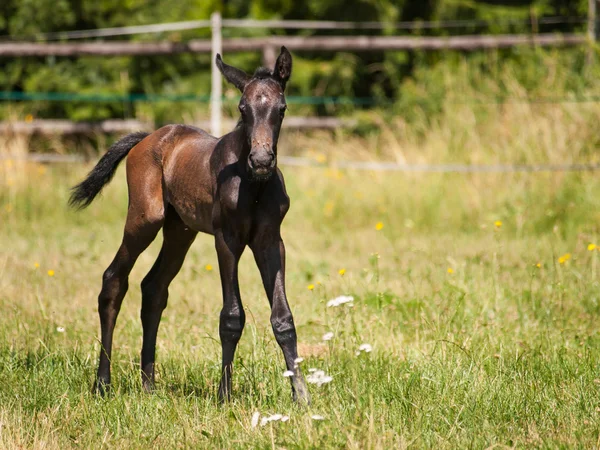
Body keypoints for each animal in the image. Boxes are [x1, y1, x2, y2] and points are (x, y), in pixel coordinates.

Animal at [70, 46, 310, 404]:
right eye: (242, 108)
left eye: (281, 109)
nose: (261, 160)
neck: (253, 186)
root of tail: (147, 138)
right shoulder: (227, 239)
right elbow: (231, 316)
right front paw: (224, 395)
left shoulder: (270, 241)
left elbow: (283, 318)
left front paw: (302, 396)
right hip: (145, 219)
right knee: (114, 280)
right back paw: (102, 384)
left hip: (180, 231)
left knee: (153, 288)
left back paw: (149, 384)